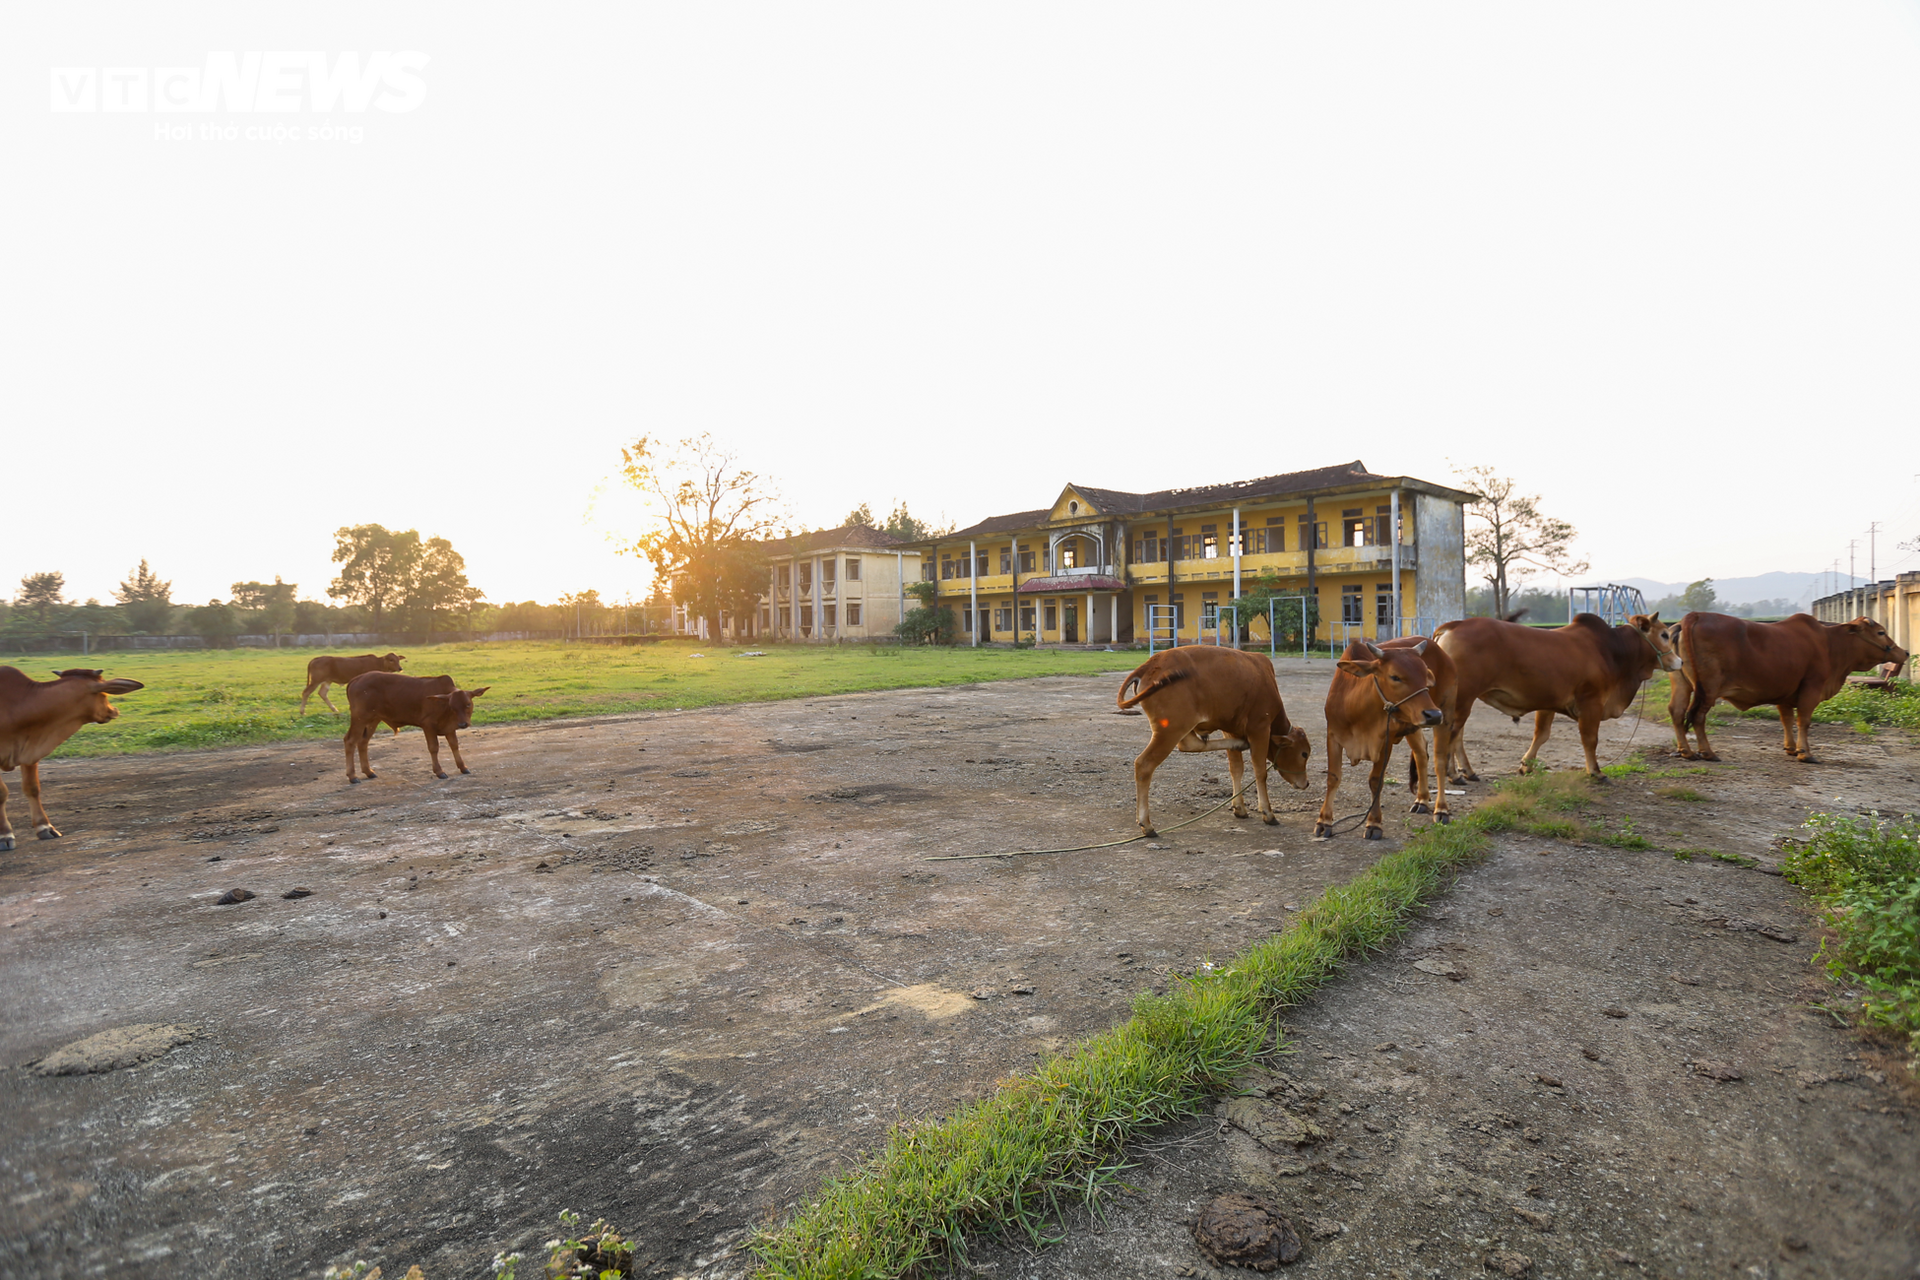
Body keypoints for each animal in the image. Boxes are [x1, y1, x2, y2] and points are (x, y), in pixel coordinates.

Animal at [0, 671, 144, 852]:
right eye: (104, 694)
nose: (114, 710)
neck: (19, 706)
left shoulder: (29, 750)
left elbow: (32, 788)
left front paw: (44, 827)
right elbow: (1, 794)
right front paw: (5, 835)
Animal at [347, 671, 491, 782]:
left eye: (468, 704)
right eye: (452, 706)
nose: (462, 724)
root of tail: (356, 679)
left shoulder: (450, 728)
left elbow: (454, 745)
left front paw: (463, 767)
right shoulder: (428, 726)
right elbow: (434, 748)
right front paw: (439, 771)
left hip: (373, 720)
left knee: (363, 742)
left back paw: (368, 772)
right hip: (360, 719)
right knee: (350, 741)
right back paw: (353, 776)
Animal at [1121, 640, 1313, 840]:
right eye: (1304, 754)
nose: (1306, 783)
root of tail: (1150, 665)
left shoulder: (1231, 729)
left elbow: (1236, 769)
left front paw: (1239, 807)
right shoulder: (1260, 728)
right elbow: (1261, 772)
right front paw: (1268, 813)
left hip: (1181, 727)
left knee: (1189, 744)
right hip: (1170, 730)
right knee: (1144, 764)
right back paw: (1146, 824)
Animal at [1436, 614, 1674, 782]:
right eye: (1664, 634)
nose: (1678, 661)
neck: (1612, 650)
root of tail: (1456, 625)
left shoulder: (1548, 704)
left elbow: (1541, 735)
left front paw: (1526, 765)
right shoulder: (1591, 703)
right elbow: (1590, 739)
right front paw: (1596, 772)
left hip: (1464, 700)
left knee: (1458, 735)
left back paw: (1468, 771)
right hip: (1463, 699)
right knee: (1453, 734)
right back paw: (1454, 775)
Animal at [1666, 610, 1904, 759]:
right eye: (1881, 632)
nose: (1905, 652)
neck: (1829, 643)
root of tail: (1694, 616)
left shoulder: (1786, 692)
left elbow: (1787, 719)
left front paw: (1791, 748)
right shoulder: (1811, 688)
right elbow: (1803, 721)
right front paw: (1805, 753)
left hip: (1682, 684)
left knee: (1677, 712)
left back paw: (1686, 751)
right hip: (1708, 689)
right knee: (1697, 716)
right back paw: (1707, 752)